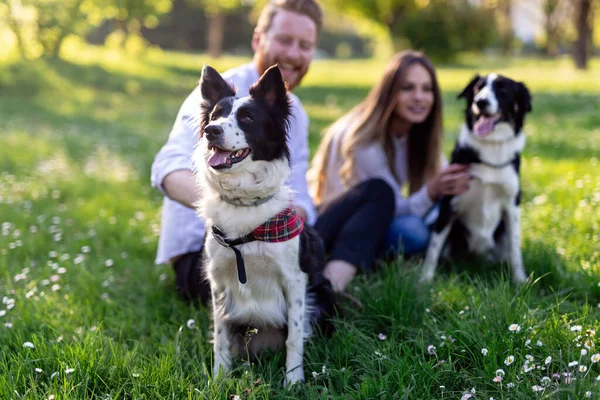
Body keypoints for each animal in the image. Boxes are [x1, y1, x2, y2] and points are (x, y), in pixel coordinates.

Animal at [192, 65, 332, 384]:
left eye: (247, 118)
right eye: (215, 115)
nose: (211, 130)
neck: (244, 203)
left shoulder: (295, 281)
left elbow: (294, 337)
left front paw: (293, 380)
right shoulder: (218, 282)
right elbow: (220, 336)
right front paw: (219, 378)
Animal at [420, 73, 532, 282]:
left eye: (503, 90)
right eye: (478, 89)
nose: (480, 102)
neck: (491, 147)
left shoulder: (512, 204)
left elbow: (515, 249)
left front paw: (520, 280)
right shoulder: (449, 201)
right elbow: (433, 248)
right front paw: (424, 279)